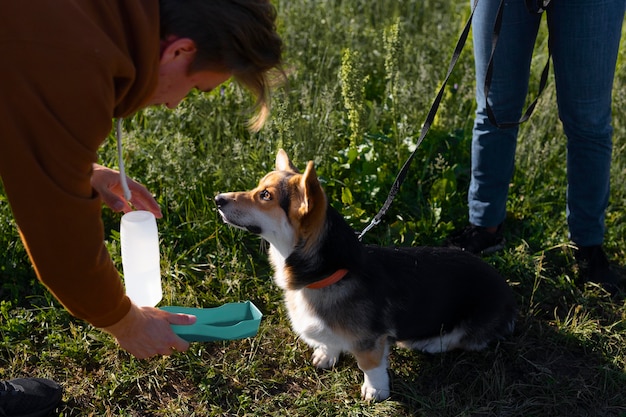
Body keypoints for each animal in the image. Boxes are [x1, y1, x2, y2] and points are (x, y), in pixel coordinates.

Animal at [212, 149, 516, 400]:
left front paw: (375, 391)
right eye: (258, 187)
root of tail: (509, 294)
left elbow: (370, 365)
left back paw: (430, 343)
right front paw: (326, 354)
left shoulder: (370, 341)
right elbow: (329, 341)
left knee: (463, 339)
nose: (217, 199)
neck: (328, 273)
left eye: (265, 195)